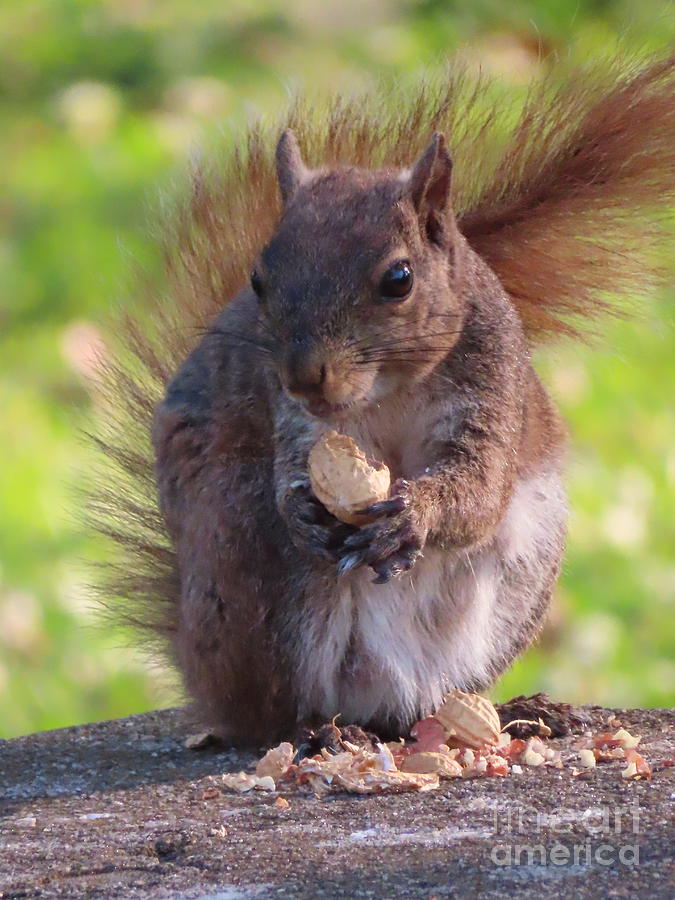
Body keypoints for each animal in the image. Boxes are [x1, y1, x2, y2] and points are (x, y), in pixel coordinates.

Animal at [93, 54, 675, 744]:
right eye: (259, 280)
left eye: (399, 279)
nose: (304, 375)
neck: (391, 389)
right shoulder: (298, 421)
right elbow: (293, 471)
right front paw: (302, 509)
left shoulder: (492, 388)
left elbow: (479, 488)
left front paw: (414, 515)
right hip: (246, 557)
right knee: (269, 711)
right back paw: (310, 730)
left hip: (524, 573)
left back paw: (502, 714)